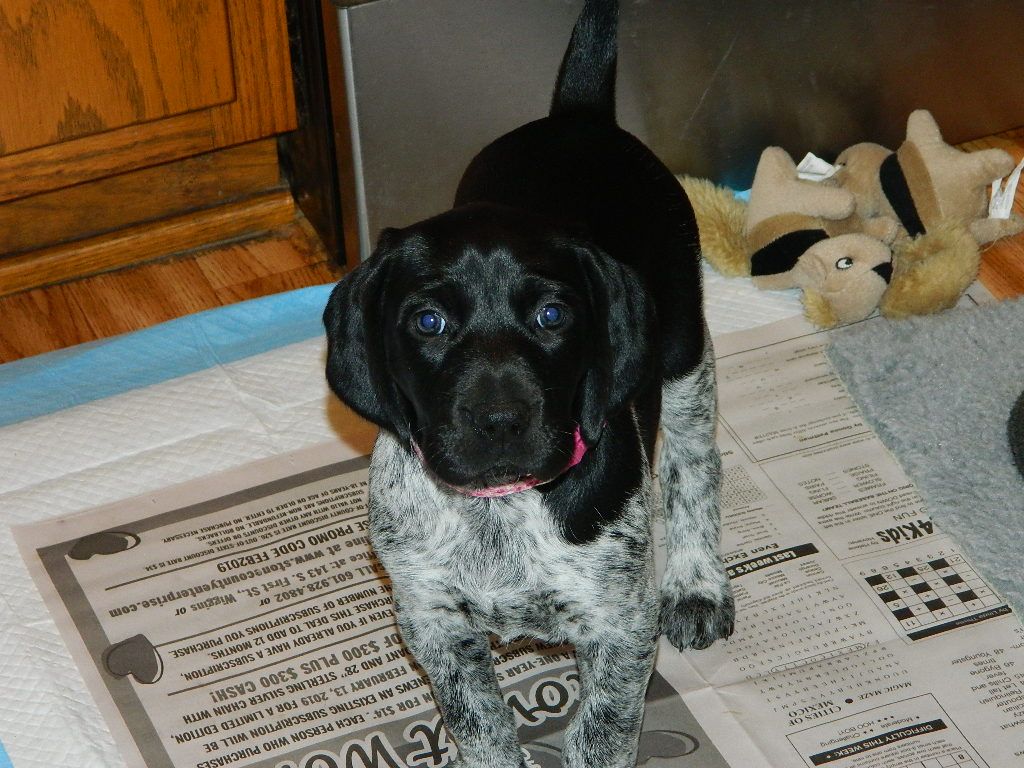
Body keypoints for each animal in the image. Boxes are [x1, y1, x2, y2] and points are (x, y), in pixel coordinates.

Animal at [323, 1, 734, 765]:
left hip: (684, 350)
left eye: (551, 316)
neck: (502, 507)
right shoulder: (433, 623)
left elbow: (602, 731)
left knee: (694, 465)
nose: (501, 421)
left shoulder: (621, 626)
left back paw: (697, 581)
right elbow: (480, 724)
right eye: (427, 321)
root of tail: (576, 116)